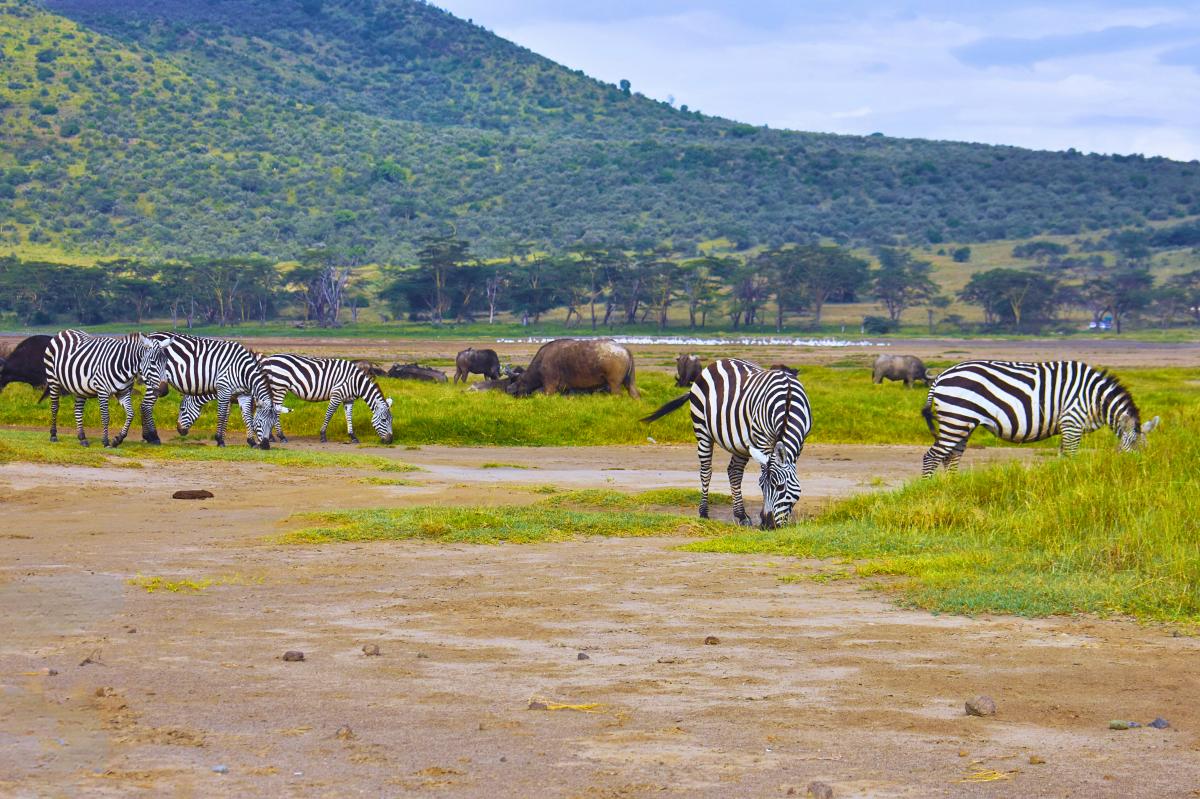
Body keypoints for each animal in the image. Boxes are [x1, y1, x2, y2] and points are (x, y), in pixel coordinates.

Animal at [148, 332, 283, 449]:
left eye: (182, 409)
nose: (265, 446)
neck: (242, 371)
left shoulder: (241, 394)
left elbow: (246, 416)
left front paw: (251, 441)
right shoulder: (225, 391)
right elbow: (223, 415)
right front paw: (220, 439)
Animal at [177, 354, 394, 444]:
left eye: (391, 420)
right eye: (384, 420)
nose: (390, 440)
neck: (356, 380)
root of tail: (267, 359)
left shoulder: (348, 399)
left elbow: (348, 417)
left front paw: (353, 436)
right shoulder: (337, 394)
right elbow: (329, 414)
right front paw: (323, 435)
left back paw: (272, 436)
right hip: (279, 387)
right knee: (275, 410)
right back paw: (280, 436)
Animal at [642, 359, 812, 529]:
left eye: (780, 487)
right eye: (761, 486)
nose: (767, 525)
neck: (788, 400)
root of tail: (717, 362)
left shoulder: (801, 442)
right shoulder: (763, 438)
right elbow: (765, 469)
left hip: (741, 442)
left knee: (734, 472)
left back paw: (741, 515)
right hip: (702, 428)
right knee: (706, 471)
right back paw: (704, 513)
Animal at [920, 359, 1160, 476]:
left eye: (1146, 451)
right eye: (1132, 449)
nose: (1142, 472)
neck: (1095, 399)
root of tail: (941, 376)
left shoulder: (1067, 426)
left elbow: (1063, 457)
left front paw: (1062, 480)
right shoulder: (1072, 421)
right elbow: (1071, 456)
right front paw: (1072, 480)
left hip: (961, 423)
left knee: (951, 457)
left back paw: (952, 489)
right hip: (956, 419)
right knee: (933, 456)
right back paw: (932, 489)